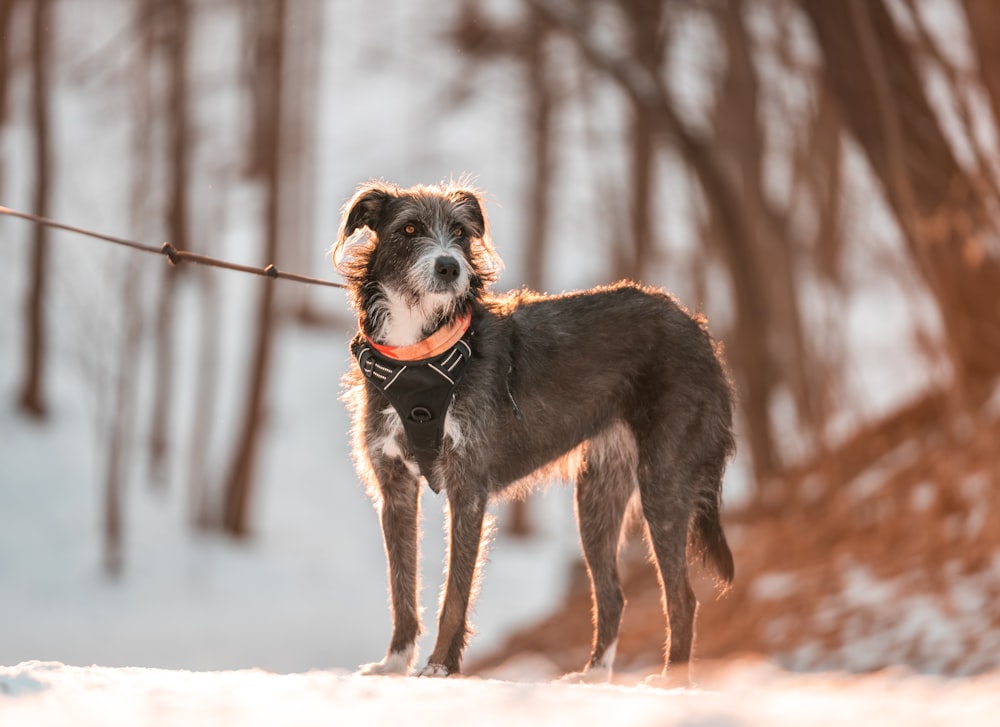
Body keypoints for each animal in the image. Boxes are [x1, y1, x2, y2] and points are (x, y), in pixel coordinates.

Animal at [336, 179, 736, 684]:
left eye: (460, 232)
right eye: (409, 228)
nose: (450, 267)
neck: (421, 354)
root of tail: (699, 330)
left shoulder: (469, 487)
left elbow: (455, 595)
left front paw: (440, 667)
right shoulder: (395, 489)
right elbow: (401, 589)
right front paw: (394, 663)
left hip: (663, 484)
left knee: (682, 598)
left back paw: (671, 681)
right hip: (597, 494)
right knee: (613, 595)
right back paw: (593, 674)